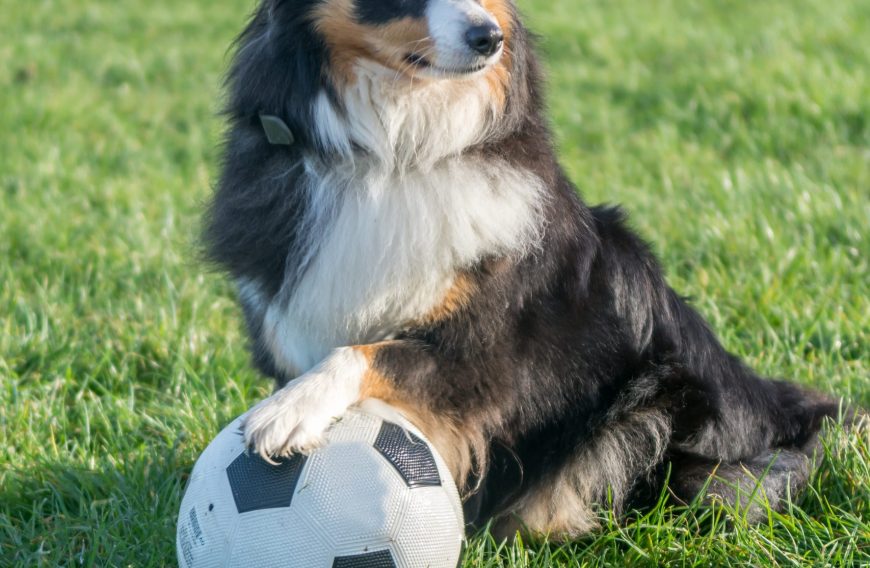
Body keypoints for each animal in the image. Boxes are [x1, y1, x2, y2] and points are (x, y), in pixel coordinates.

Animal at [204, 0, 844, 536]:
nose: (490, 38)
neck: (396, 148)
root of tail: (785, 413)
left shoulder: (484, 361)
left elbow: (368, 352)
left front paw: (289, 411)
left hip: (658, 399)